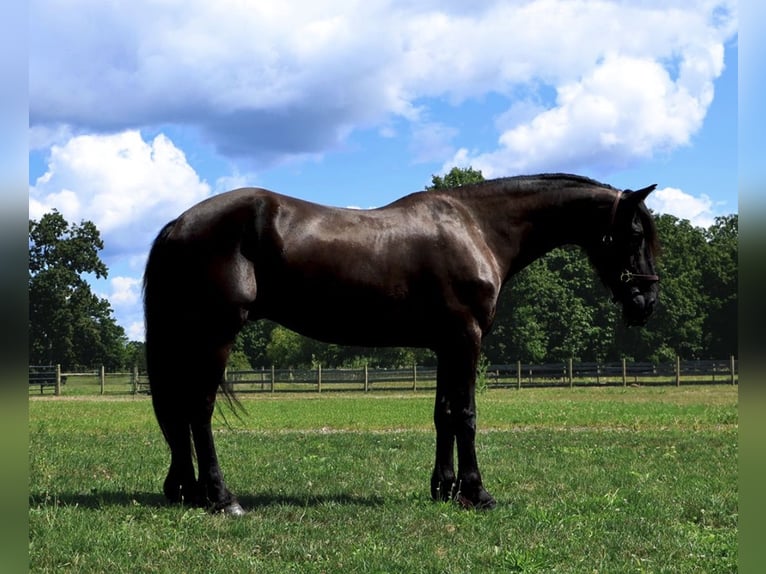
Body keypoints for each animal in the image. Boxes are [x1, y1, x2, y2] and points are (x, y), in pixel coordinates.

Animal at [143, 173, 659, 515]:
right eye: (634, 233)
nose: (646, 302)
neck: (478, 227)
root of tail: (179, 223)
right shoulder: (466, 338)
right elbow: (466, 415)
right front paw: (477, 493)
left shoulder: (447, 345)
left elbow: (444, 414)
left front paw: (444, 488)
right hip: (215, 335)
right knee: (198, 411)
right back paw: (221, 498)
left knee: (179, 412)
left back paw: (187, 491)